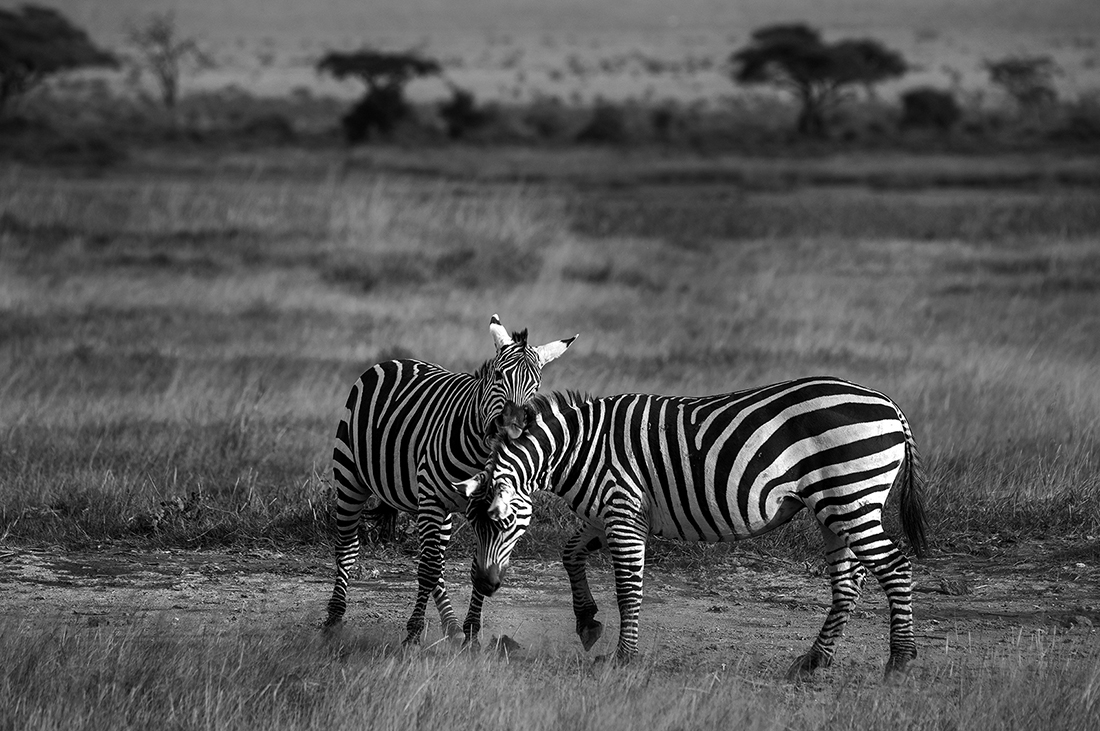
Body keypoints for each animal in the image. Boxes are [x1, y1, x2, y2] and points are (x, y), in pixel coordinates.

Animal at [325, 314, 577, 647]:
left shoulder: (482, 508)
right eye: (498, 375)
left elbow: (470, 564)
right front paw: (413, 633)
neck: (480, 454)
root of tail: (395, 360)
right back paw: (334, 618)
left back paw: (451, 624)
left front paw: (470, 632)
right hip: (351, 477)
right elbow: (428, 570)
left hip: (435, 508)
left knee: (435, 559)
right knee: (349, 548)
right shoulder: (432, 499)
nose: (512, 428)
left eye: (536, 385)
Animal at [454, 376, 928, 679]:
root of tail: (889, 404)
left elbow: (628, 589)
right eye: (474, 525)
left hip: (850, 497)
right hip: (836, 507)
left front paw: (623, 658)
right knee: (849, 584)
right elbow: (569, 554)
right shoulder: (607, 514)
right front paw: (587, 622)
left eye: (503, 521)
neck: (579, 449)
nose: (485, 584)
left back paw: (901, 661)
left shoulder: (623, 511)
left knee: (896, 568)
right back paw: (814, 661)